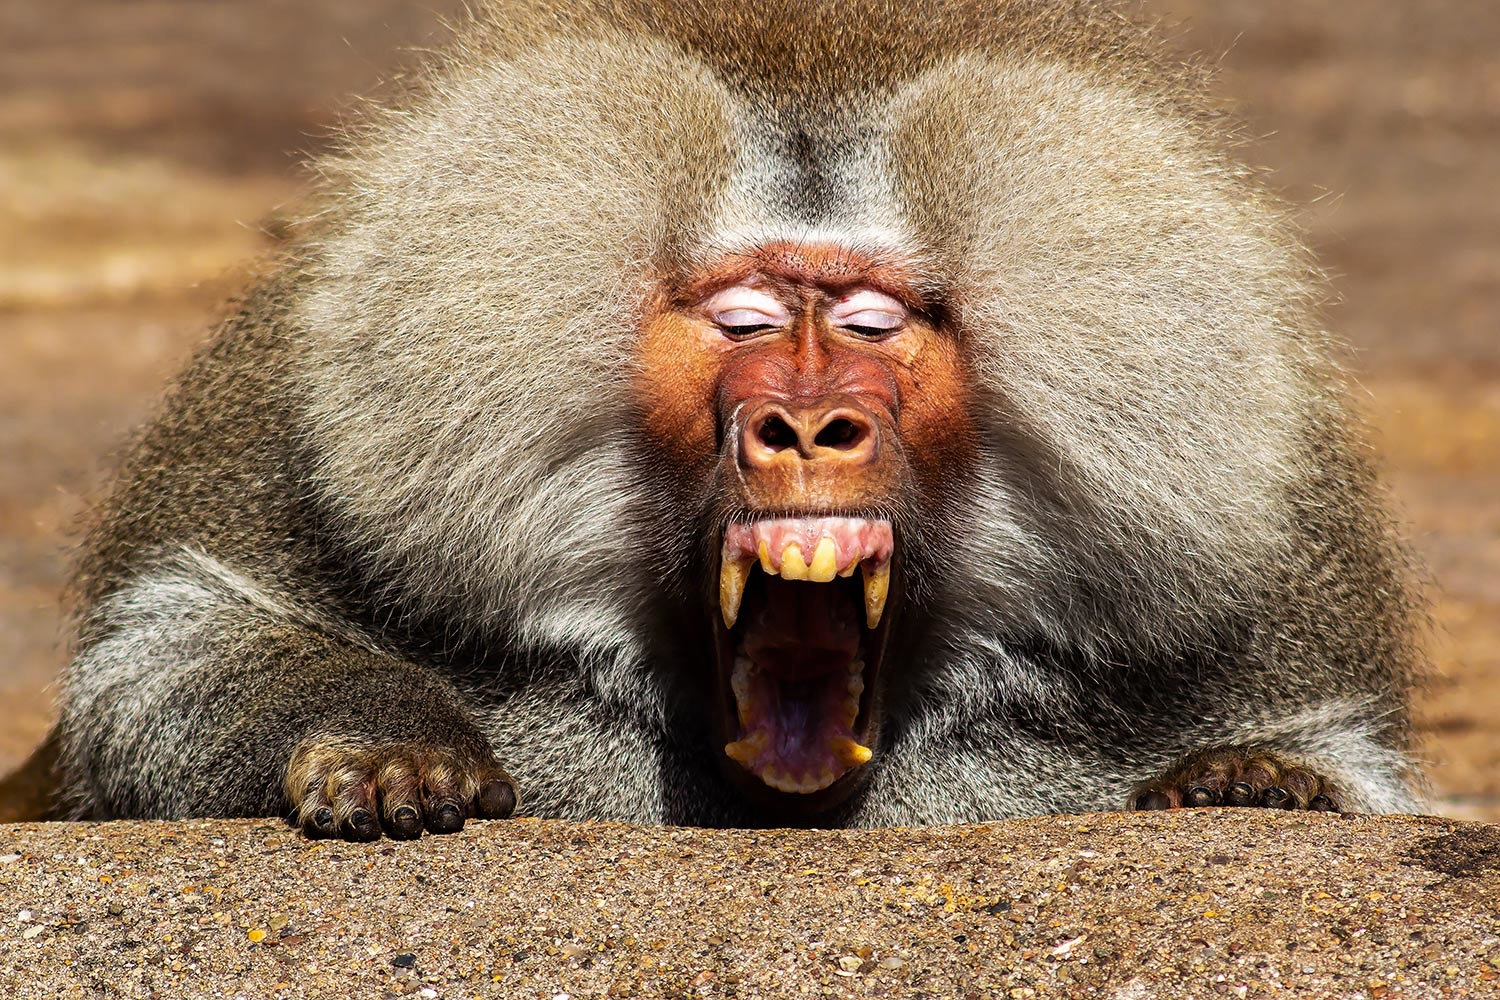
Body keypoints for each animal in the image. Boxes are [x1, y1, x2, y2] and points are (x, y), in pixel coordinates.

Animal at [0, 0, 1425, 839]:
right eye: (742, 317)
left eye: (872, 323)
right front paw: (391, 751)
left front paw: (1255, 779)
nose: (807, 428)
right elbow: (163, 666)